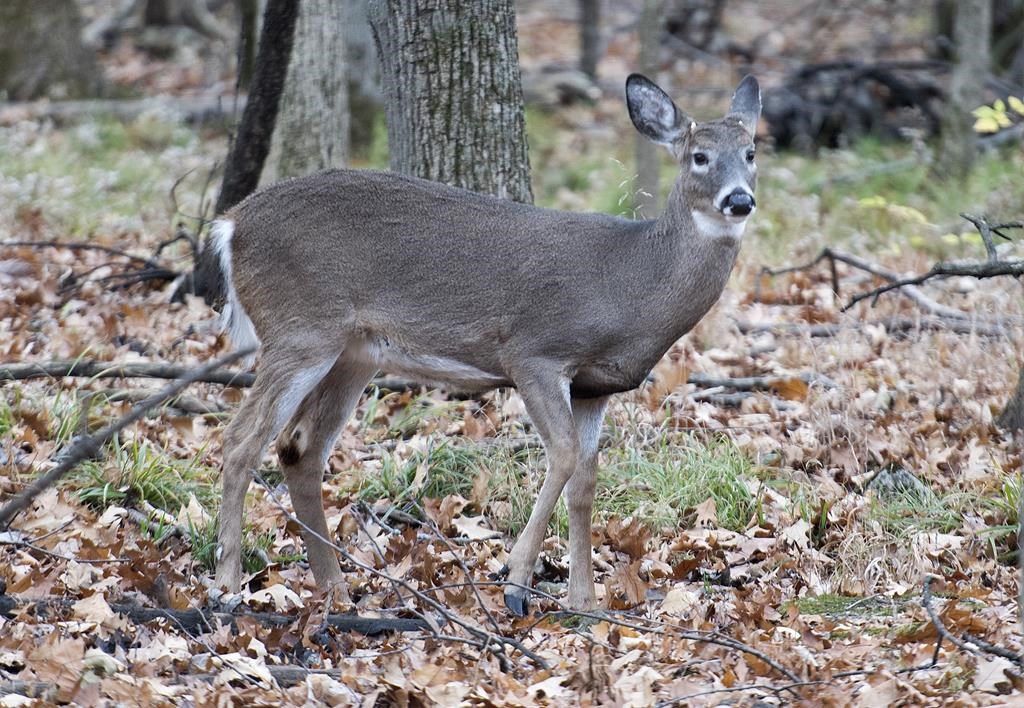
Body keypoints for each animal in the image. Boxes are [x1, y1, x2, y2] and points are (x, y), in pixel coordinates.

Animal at [207, 72, 761, 614]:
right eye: (699, 156)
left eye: (751, 152)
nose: (739, 199)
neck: (633, 283)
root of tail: (230, 225)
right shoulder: (534, 352)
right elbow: (563, 455)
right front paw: (516, 581)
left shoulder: (594, 385)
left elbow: (585, 479)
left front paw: (585, 604)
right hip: (300, 328)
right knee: (240, 440)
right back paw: (228, 585)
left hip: (354, 351)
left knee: (299, 448)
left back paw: (336, 590)